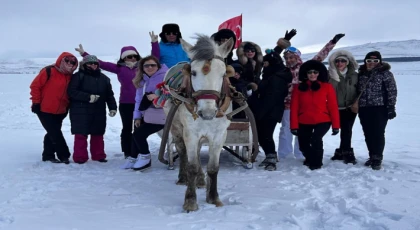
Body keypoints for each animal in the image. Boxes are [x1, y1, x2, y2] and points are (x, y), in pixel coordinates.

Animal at [162, 34, 235, 212]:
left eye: (223, 73)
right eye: (193, 72)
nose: (207, 112)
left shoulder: (219, 135)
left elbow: (213, 168)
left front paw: (213, 198)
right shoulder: (191, 133)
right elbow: (192, 166)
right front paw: (190, 201)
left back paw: (201, 180)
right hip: (176, 128)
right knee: (182, 151)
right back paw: (183, 178)